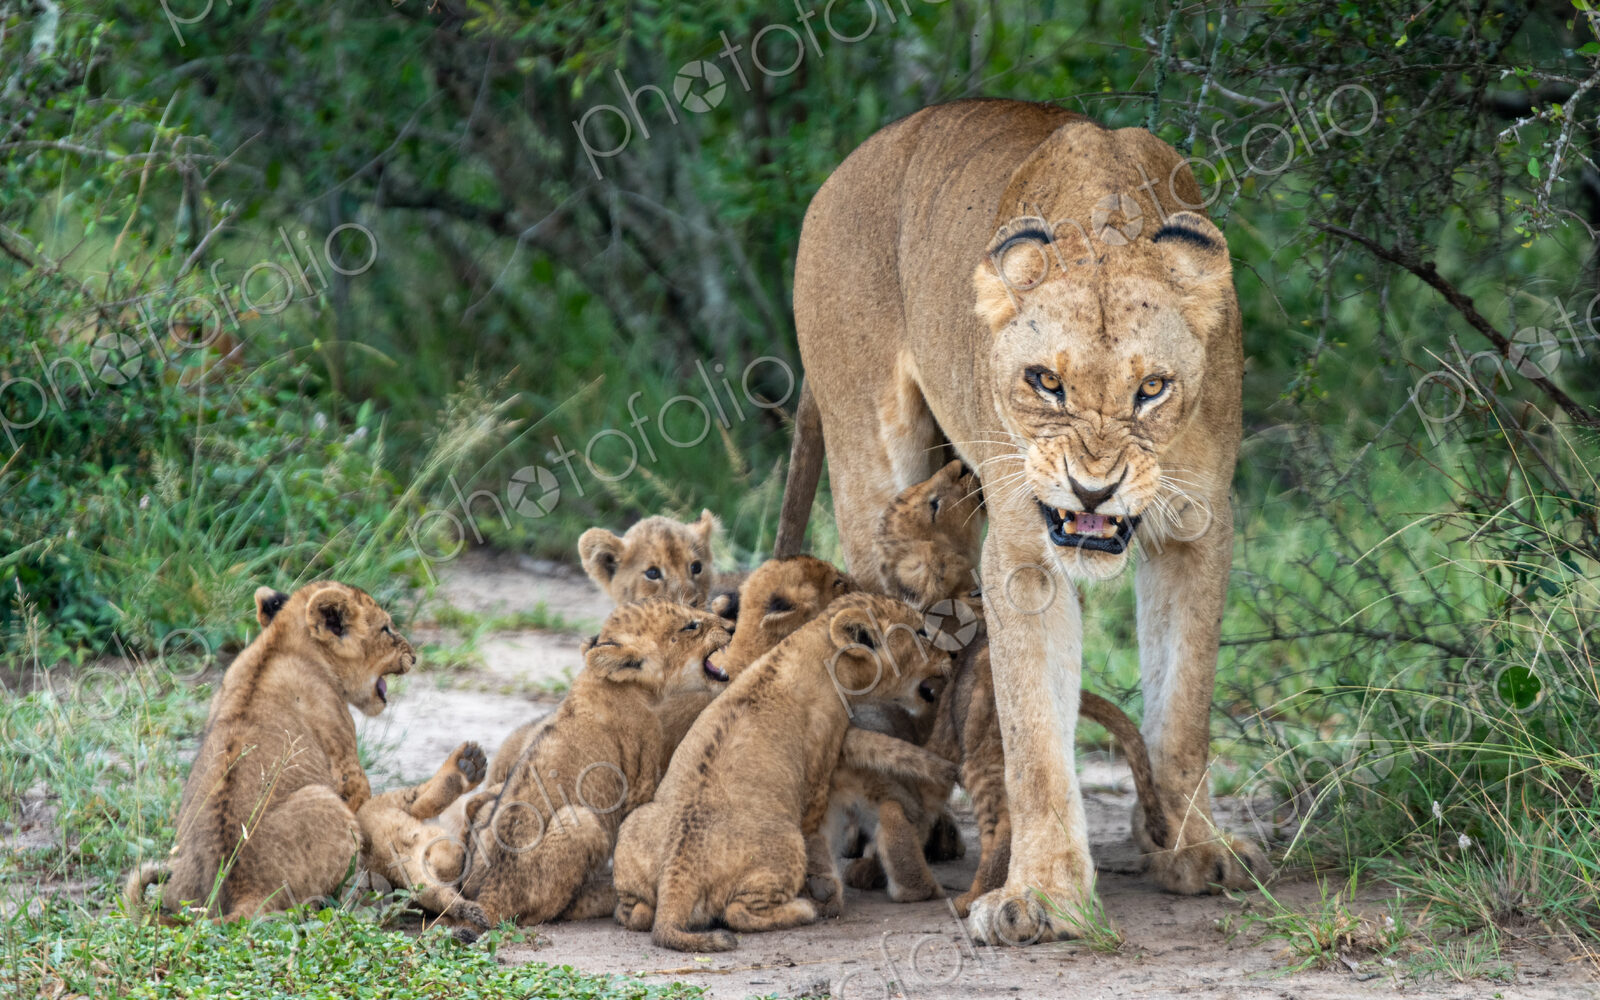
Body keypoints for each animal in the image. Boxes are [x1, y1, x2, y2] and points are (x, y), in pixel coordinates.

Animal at [124, 582, 434, 922]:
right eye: (386, 628)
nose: (414, 657)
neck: (281, 642)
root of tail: (244, 892)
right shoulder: (344, 760)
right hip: (324, 800)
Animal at [456, 600, 733, 929]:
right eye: (691, 626)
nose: (731, 626)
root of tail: (490, 895)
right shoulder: (642, 781)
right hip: (583, 821)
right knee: (548, 911)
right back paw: (604, 895)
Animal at [611, 593, 956, 952]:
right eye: (920, 632)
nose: (952, 655)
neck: (814, 643)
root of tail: (677, 878)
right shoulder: (819, 766)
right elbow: (820, 824)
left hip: (635, 824)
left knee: (638, 912)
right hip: (787, 843)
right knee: (736, 912)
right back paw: (802, 908)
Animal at [775, 99, 1266, 943]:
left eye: (1153, 388)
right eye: (1046, 382)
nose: (1093, 492)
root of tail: (853, 161)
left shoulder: (1198, 530)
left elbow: (1183, 710)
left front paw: (1192, 850)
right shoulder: (1021, 552)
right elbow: (1034, 737)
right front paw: (1041, 895)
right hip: (874, 474)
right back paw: (895, 836)